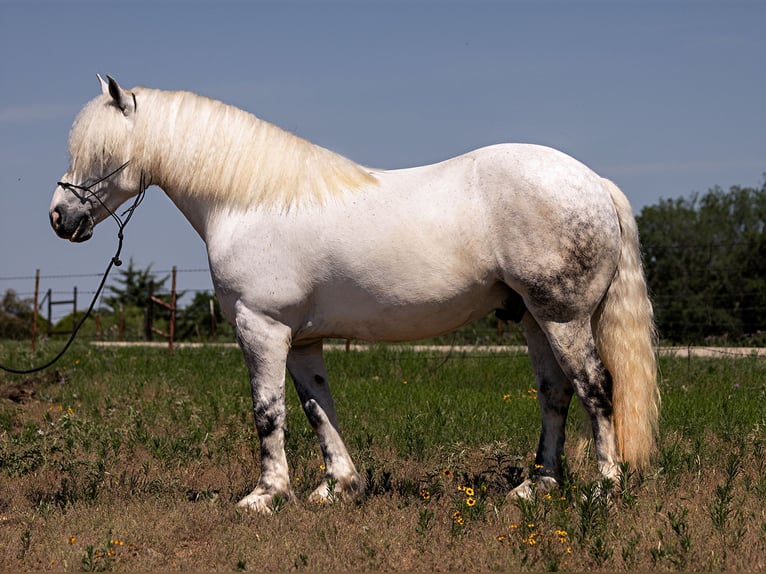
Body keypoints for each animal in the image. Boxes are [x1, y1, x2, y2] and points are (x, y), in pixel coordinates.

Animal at [49, 75, 660, 512]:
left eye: (101, 152)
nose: (60, 217)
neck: (249, 201)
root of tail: (593, 182)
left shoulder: (260, 327)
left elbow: (267, 411)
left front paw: (265, 496)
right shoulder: (301, 340)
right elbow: (318, 408)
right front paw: (339, 486)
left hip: (563, 318)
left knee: (596, 388)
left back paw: (604, 488)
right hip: (535, 319)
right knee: (554, 394)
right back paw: (537, 487)